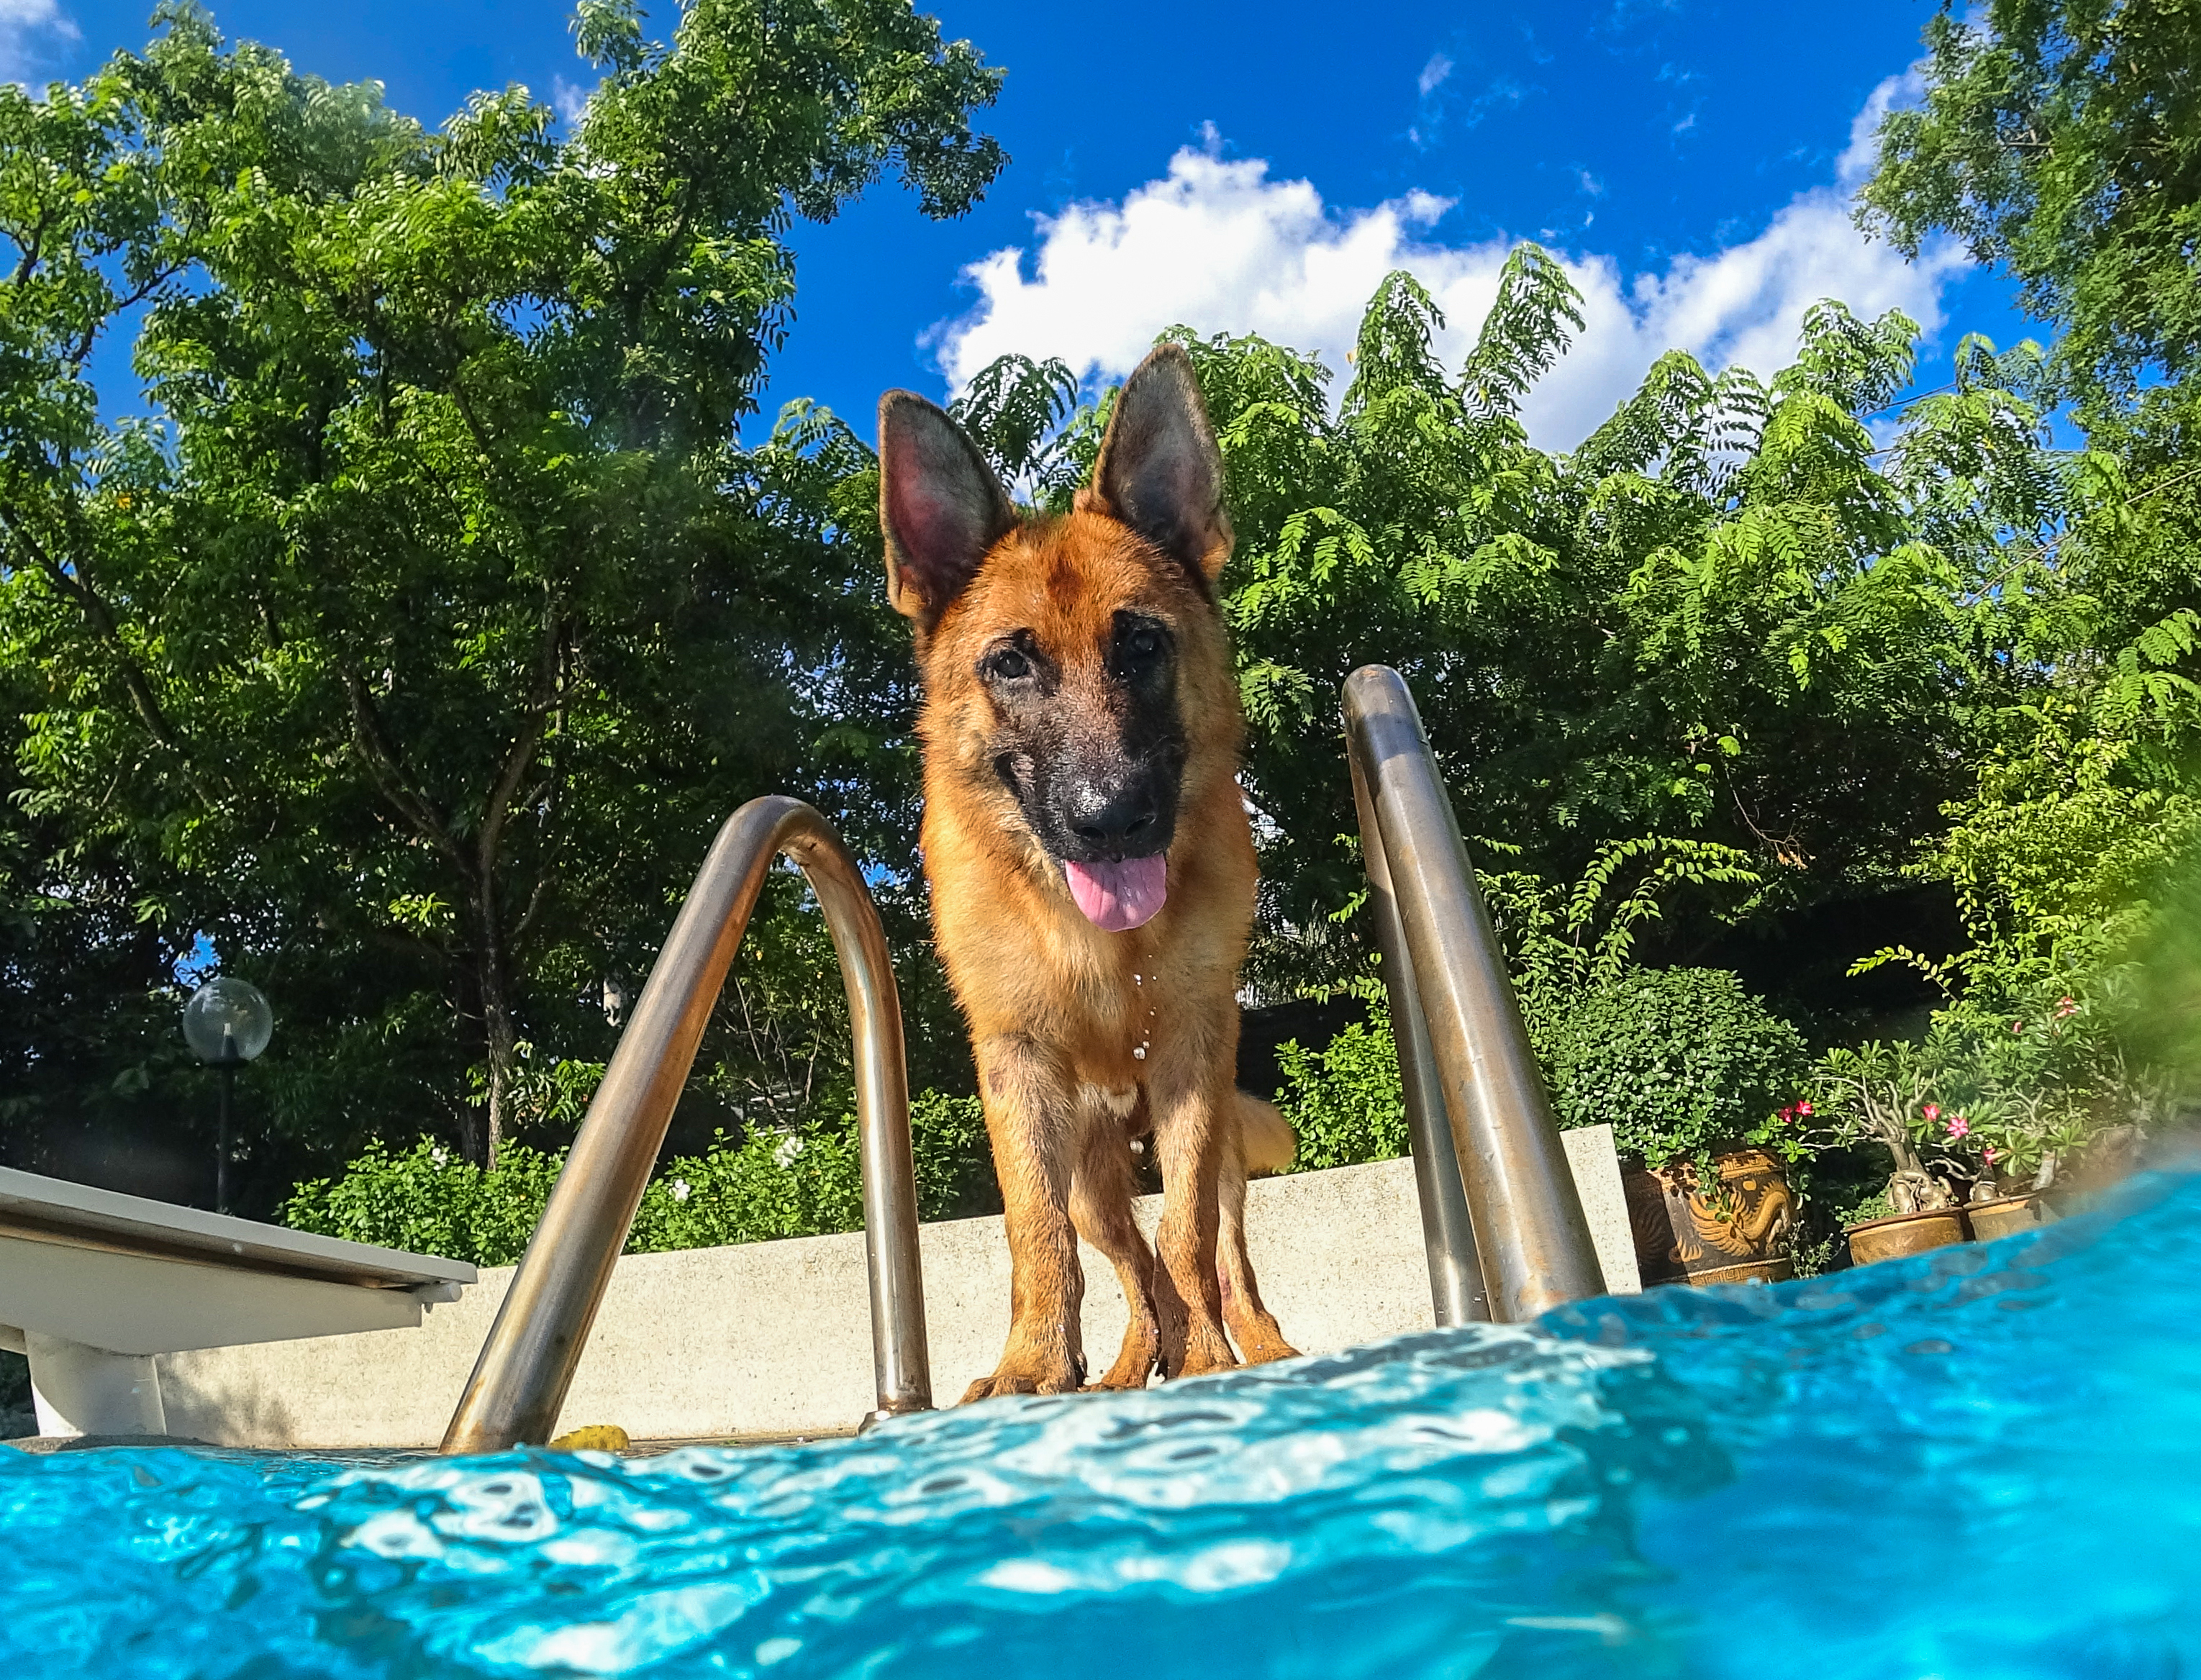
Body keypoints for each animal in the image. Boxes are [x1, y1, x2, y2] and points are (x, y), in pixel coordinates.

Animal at [871, 348, 1285, 1400]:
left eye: (1140, 642)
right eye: (1010, 663)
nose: (1111, 819)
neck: (1105, 946)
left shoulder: (1189, 1059)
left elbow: (1187, 1235)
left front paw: (1210, 1359)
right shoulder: (1017, 1069)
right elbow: (1036, 1234)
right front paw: (1031, 1364)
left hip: (1211, 1145)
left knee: (1217, 1253)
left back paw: (1250, 1347)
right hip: (1095, 1177)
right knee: (1129, 1268)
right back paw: (1133, 1365)